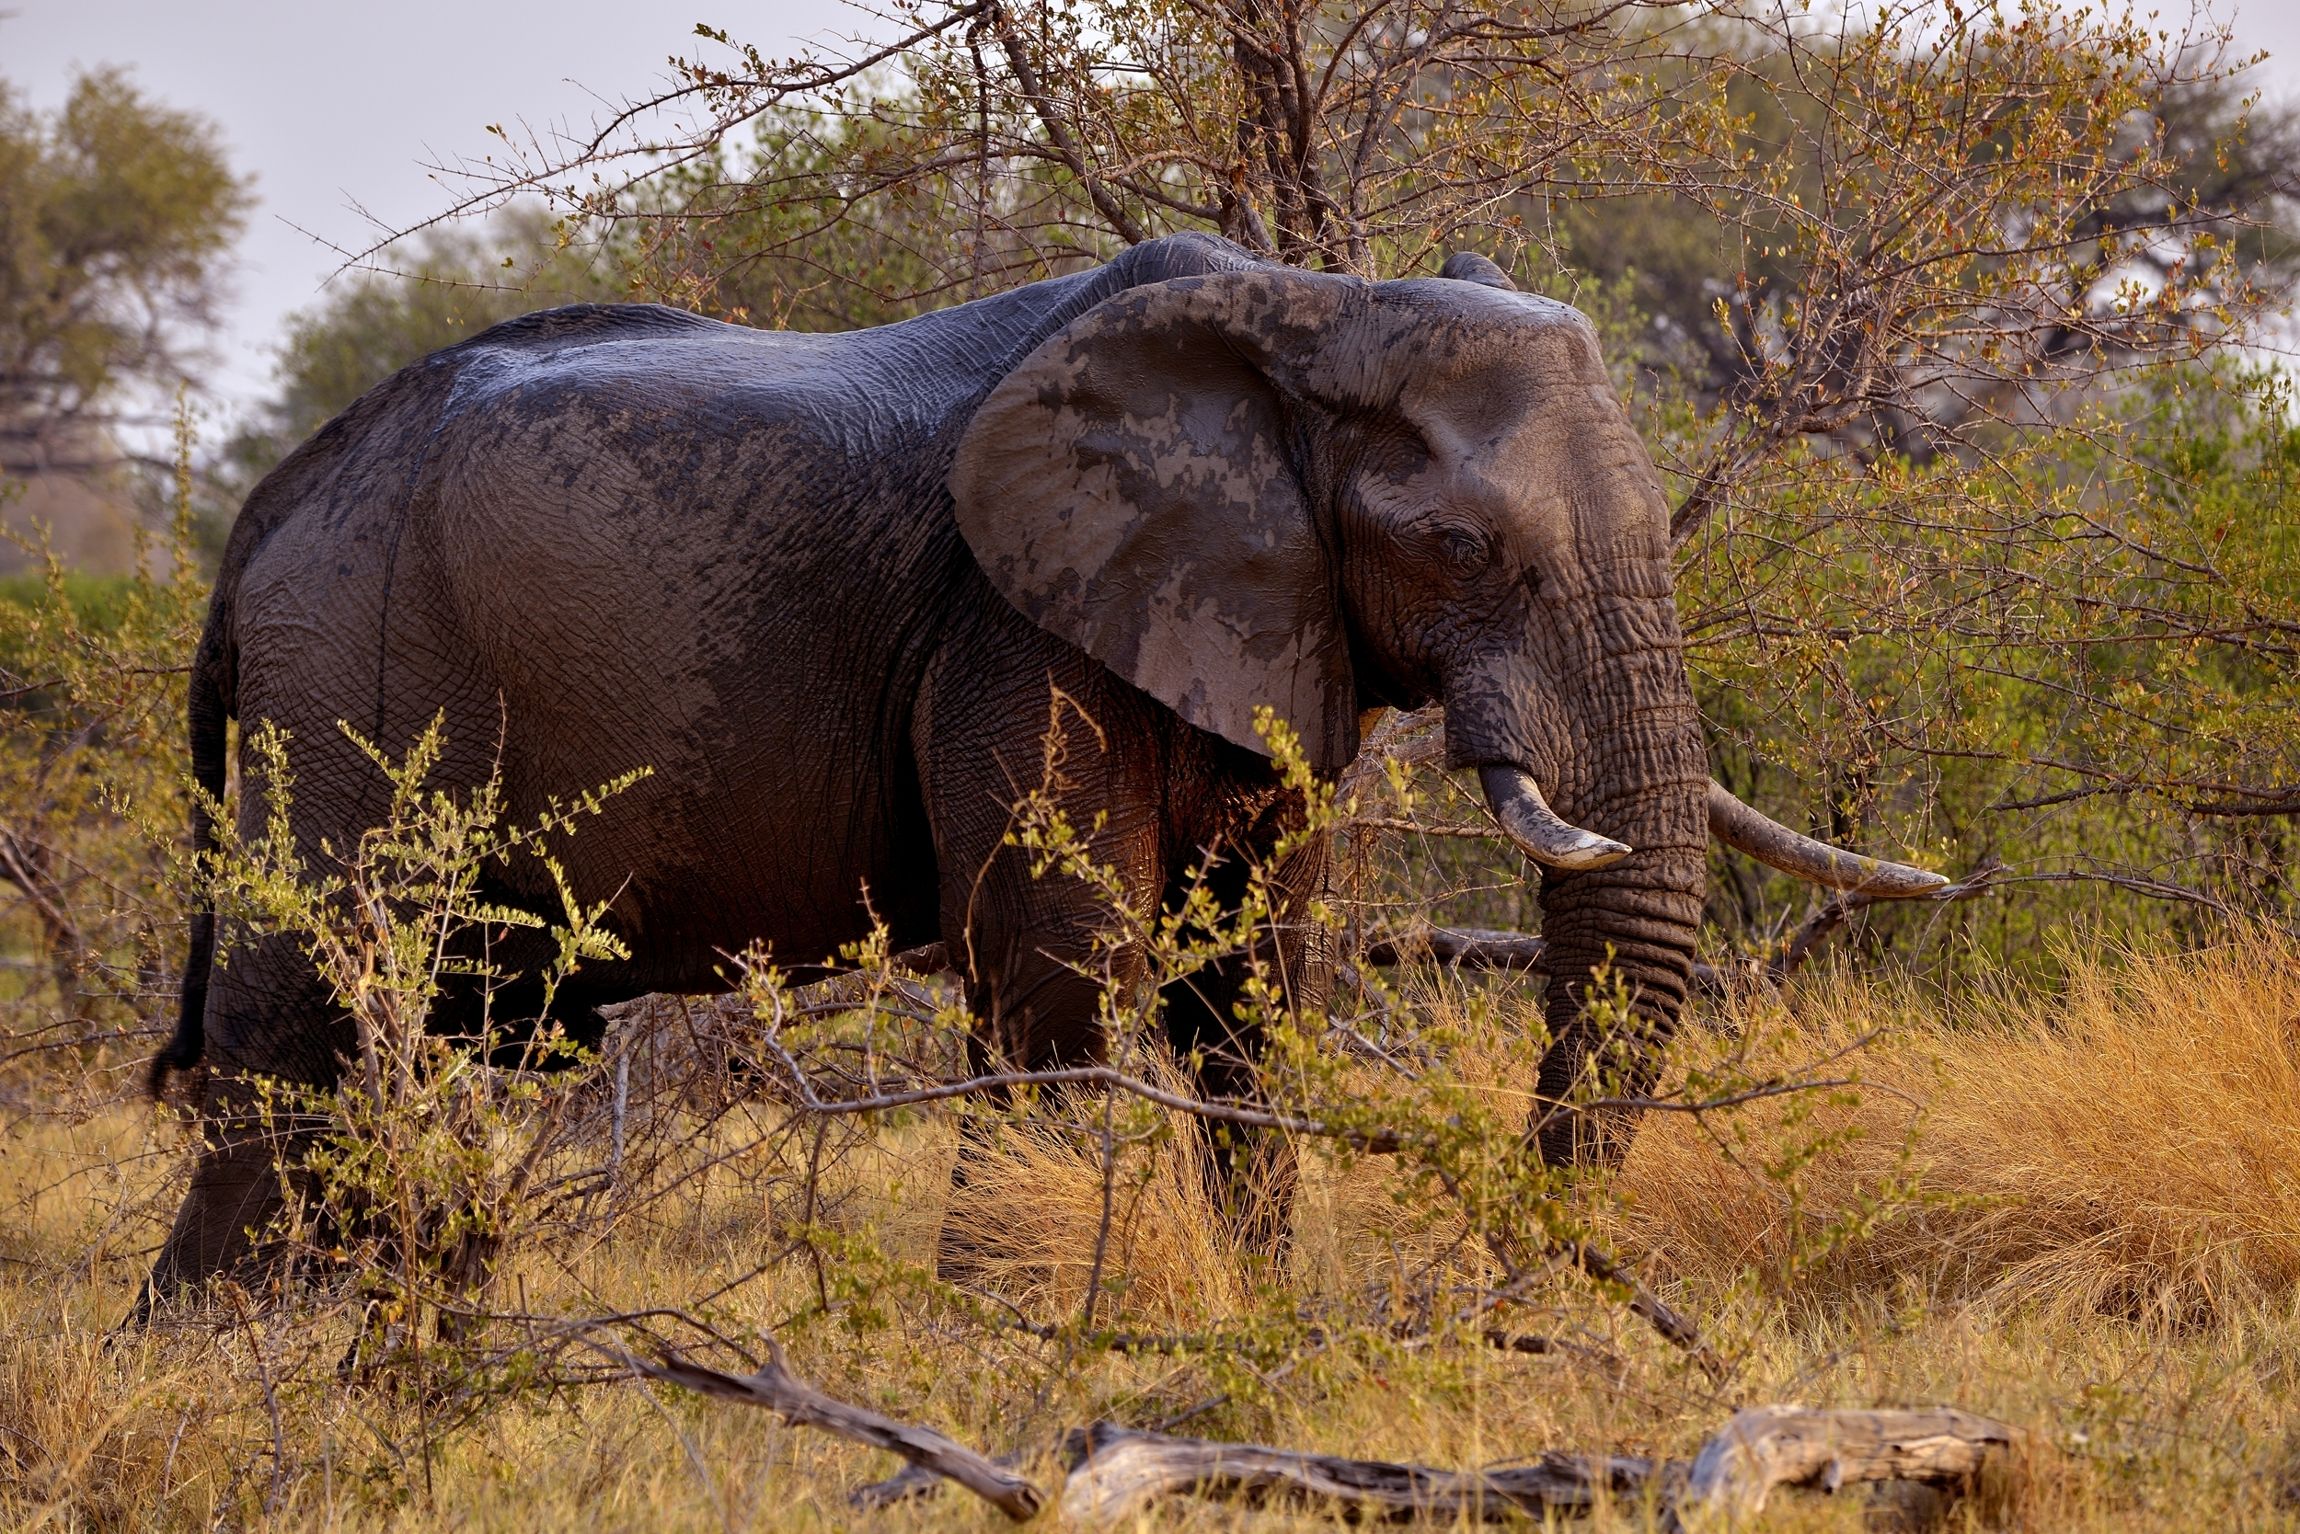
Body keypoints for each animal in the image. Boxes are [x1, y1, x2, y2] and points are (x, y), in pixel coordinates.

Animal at [140, 231, 1942, 1306]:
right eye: (1455, 546)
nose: (1507, 1298)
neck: (1309, 307)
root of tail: (264, 513)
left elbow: (1258, 978)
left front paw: (1253, 1317)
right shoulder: (1016, 621)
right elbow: (1068, 960)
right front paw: (1007, 1323)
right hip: (353, 671)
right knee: (310, 1005)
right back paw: (233, 1339)